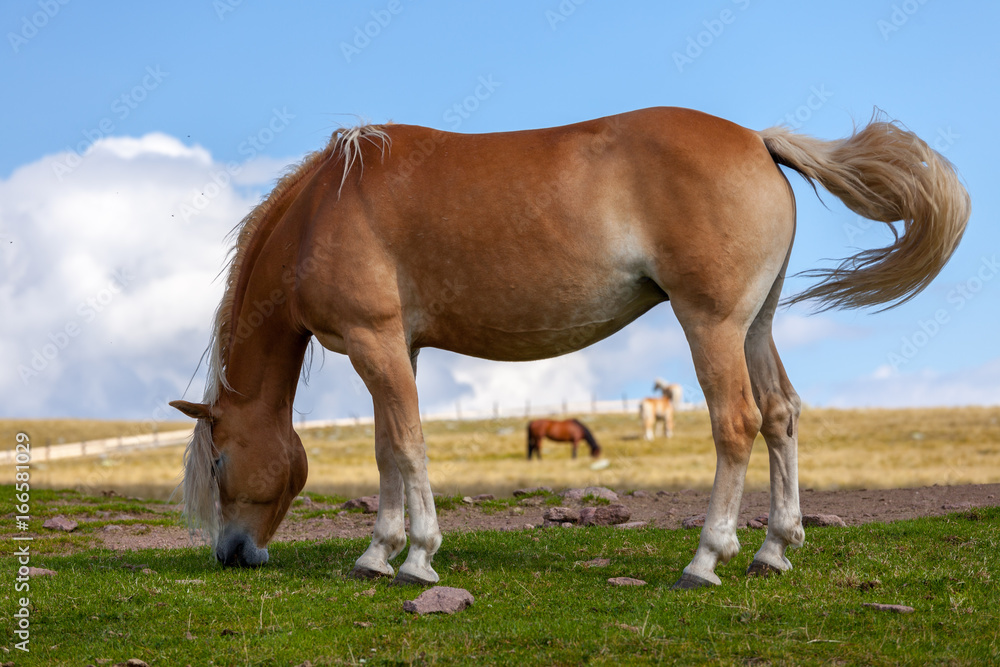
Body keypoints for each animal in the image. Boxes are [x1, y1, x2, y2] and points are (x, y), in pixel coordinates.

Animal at [170, 107, 969, 590]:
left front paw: (417, 557)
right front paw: (378, 551)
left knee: (736, 424)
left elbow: (408, 444)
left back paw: (706, 558)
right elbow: (387, 449)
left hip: (711, 326)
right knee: (780, 416)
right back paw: (774, 548)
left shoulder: (376, 343)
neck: (324, 209)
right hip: (754, 327)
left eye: (216, 462)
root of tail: (756, 139)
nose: (232, 554)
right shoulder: (398, 349)